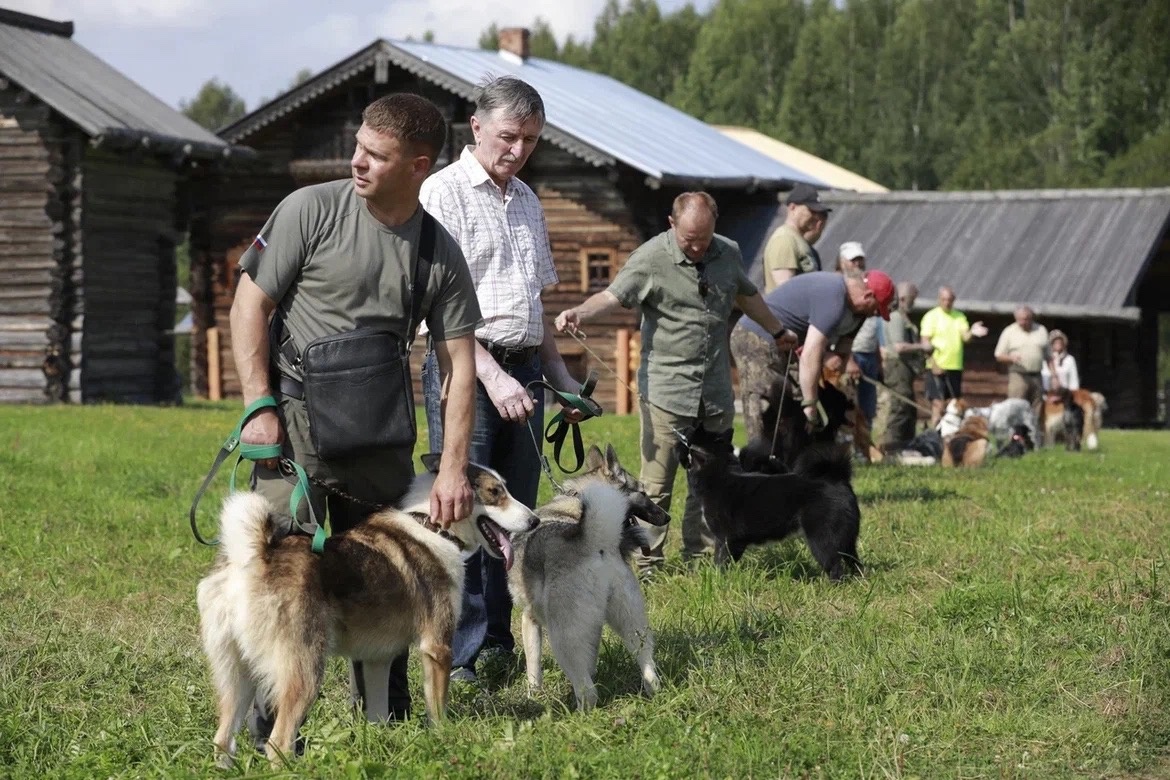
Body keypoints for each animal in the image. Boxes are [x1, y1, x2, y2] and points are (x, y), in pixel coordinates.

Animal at [510, 442, 669, 711]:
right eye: (643, 493)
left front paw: (533, 695)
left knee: (586, 690)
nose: (667, 517)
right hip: (632, 624)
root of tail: (596, 542)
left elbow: (534, 668)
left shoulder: (529, 619)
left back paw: (580, 713)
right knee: (647, 665)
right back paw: (653, 691)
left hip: (562, 637)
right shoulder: (592, 626)